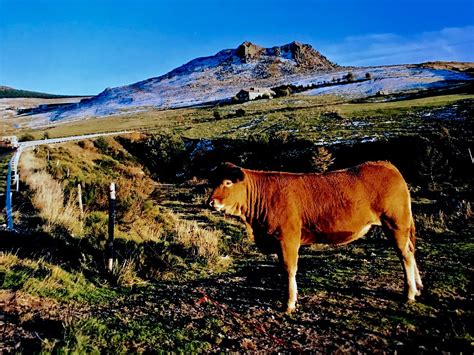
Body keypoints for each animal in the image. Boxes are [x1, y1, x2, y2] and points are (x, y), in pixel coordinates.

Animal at [209, 163, 424, 312]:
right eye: (214, 182)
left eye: (227, 182)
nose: (211, 202)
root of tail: (386, 165)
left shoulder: (287, 238)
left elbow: (289, 269)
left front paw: (289, 303)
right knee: (411, 251)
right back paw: (418, 287)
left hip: (396, 223)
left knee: (405, 255)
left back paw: (409, 293)